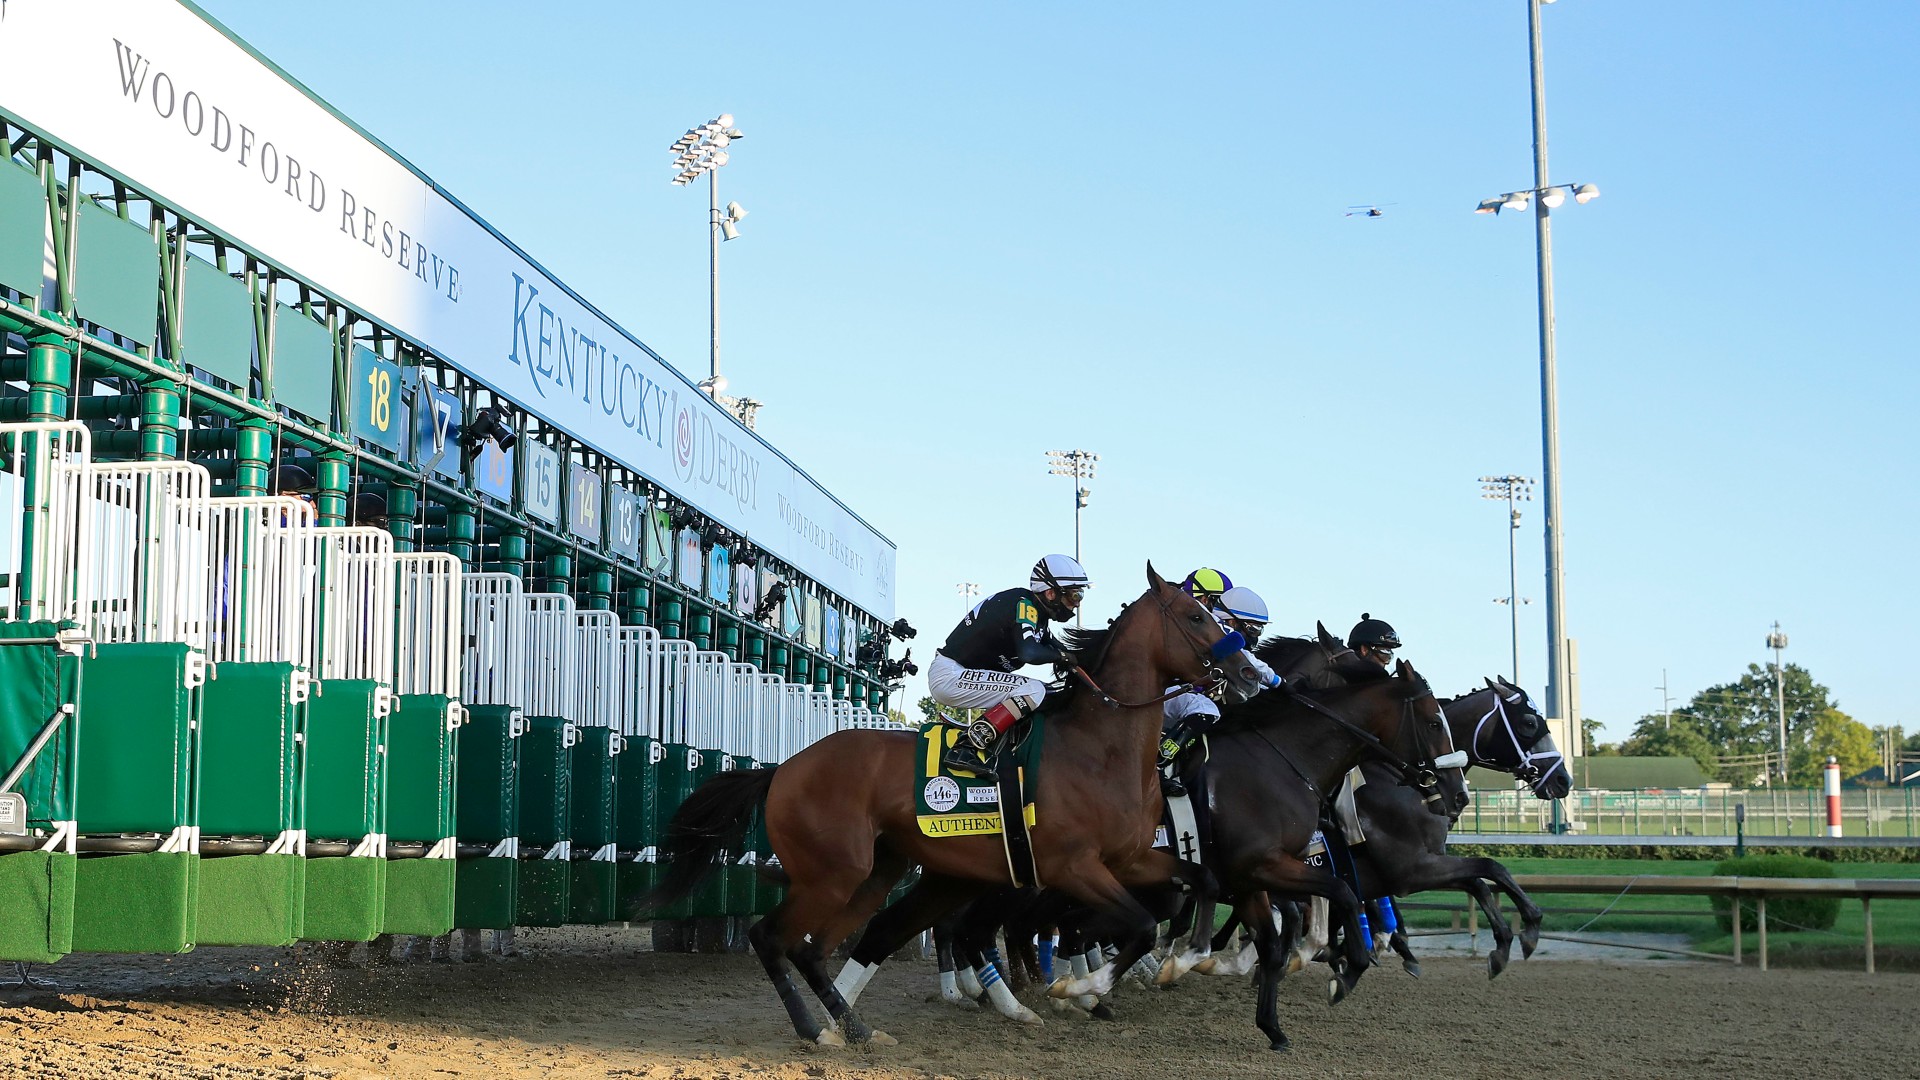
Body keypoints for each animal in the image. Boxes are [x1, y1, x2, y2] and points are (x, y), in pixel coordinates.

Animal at [652, 564, 1267, 1045]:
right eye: (1195, 616)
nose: (1248, 674)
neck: (1100, 746)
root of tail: (783, 768)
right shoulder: (1072, 866)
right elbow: (1136, 925)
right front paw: (1079, 987)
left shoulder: (1130, 859)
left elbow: (1201, 881)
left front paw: (1188, 957)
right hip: (833, 874)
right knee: (772, 937)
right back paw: (815, 1030)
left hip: (874, 873)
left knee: (817, 947)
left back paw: (855, 1028)